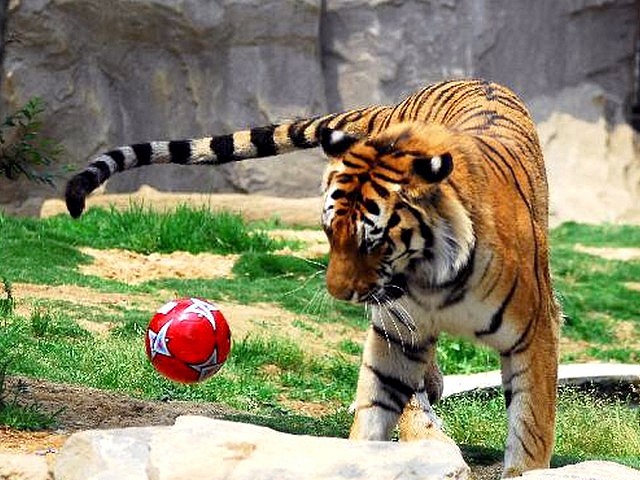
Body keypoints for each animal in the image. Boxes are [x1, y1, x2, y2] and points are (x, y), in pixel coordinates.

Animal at [65, 78, 561, 477]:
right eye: (328, 232)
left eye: (373, 241)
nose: (339, 293)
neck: (430, 280)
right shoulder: (396, 331)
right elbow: (378, 401)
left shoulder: (535, 333)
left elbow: (531, 424)